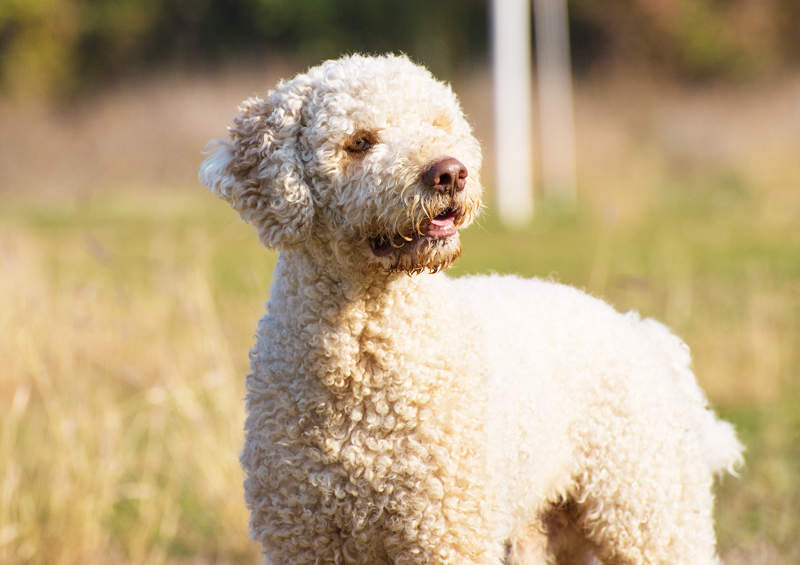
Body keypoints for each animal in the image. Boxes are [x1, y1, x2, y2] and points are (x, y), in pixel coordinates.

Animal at [200, 54, 744, 564]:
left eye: (438, 125)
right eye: (359, 142)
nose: (450, 172)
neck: (364, 361)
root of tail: (641, 332)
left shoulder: (445, 532)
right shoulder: (303, 537)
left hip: (649, 513)